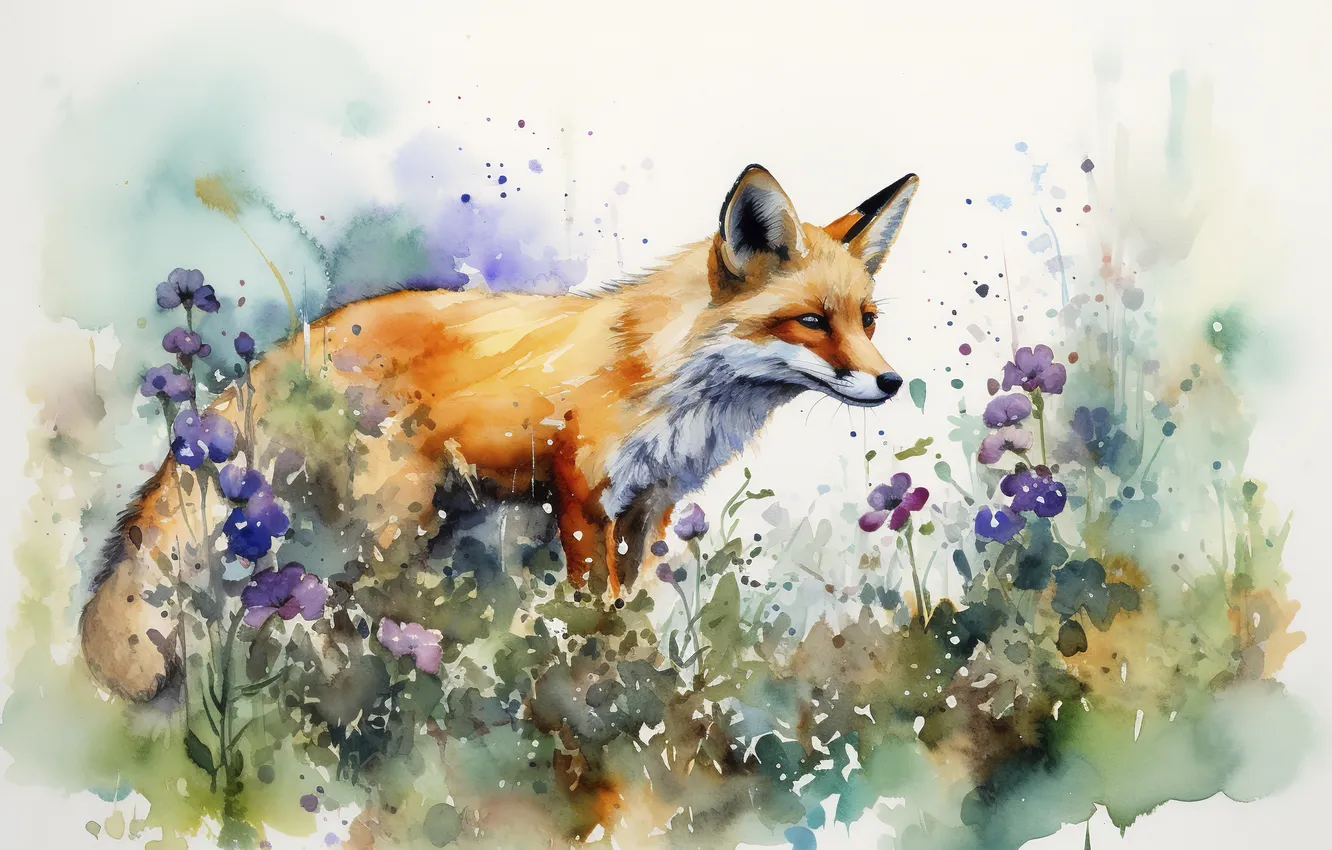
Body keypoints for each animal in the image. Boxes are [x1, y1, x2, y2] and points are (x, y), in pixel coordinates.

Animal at [80, 164, 919, 702]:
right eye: (811, 322)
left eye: (868, 321)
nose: (890, 382)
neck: (664, 372)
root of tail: (298, 343)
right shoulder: (583, 496)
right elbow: (595, 606)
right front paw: (603, 679)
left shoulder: (649, 506)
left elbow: (633, 602)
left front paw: (644, 670)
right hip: (398, 521)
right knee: (337, 602)